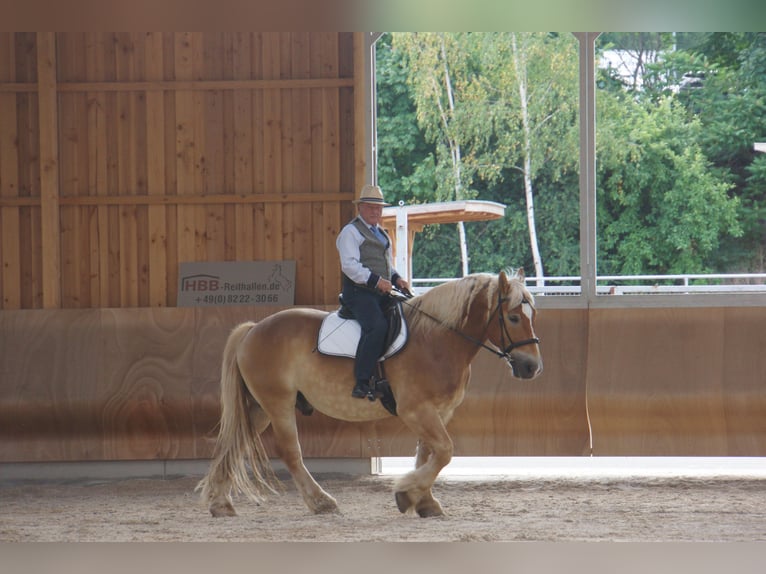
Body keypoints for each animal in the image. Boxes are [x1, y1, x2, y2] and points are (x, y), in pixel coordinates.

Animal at [198, 268, 544, 520]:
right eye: (513, 317)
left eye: (533, 316)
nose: (531, 367)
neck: (436, 340)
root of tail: (253, 329)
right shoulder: (416, 410)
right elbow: (444, 451)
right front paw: (406, 494)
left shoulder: (438, 411)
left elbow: (429, 454)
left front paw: (424, 502)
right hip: (277, 403)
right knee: (289, 451)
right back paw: (321, 502)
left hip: (259, 407)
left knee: (234, 444)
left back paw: (221, 504)